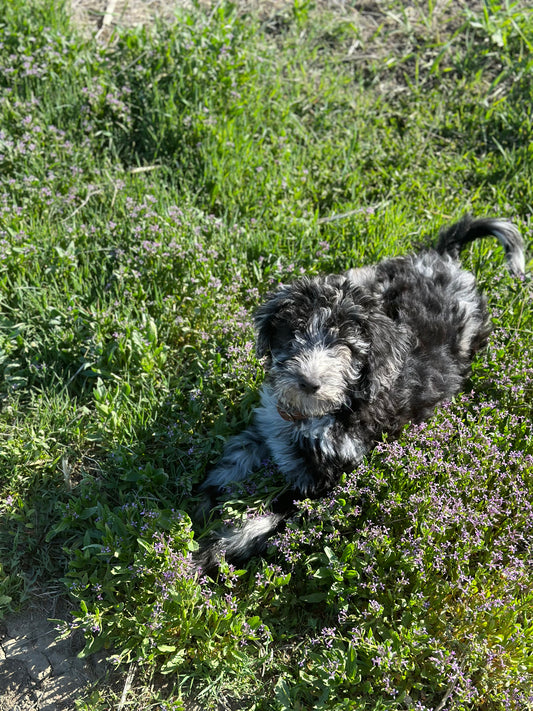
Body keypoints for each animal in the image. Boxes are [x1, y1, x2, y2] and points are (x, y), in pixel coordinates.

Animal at [193, 216, 520, 572]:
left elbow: (267, 515)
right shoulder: (268, 424)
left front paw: (213, 550)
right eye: (293, 335)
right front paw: (205, 499)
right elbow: (236, 457)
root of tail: (446, 260)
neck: (322, 413)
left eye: (346, 348)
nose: (309, 382)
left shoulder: (323, 478)